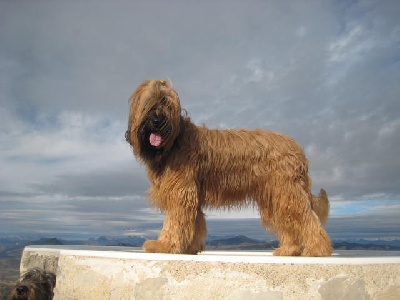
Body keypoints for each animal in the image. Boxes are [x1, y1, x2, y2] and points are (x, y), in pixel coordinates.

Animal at [126, 79, 332, 255]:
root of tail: (298, 149)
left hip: (287, 191)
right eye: (150, 103)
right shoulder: (192, 192)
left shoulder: (182, 191)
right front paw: (191, 247)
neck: (174, 140)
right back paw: (289, 249)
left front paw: (165, 245)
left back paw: (317, 250)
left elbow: (175, 221)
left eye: (168, 104)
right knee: (287, 221)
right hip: (275, 196)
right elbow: (196, 222)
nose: (157, 121)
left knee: (306, 217)